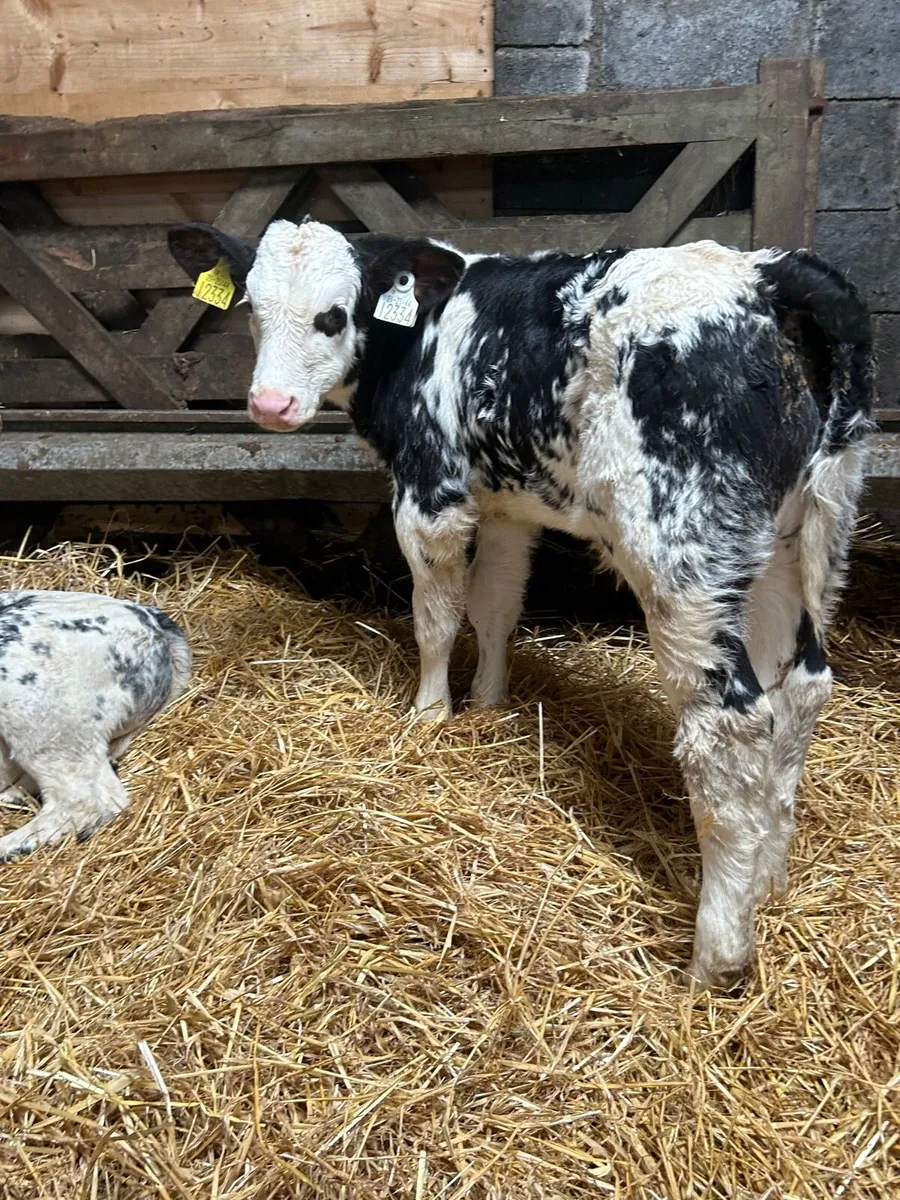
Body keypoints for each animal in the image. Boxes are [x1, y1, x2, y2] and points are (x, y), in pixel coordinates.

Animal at [167, 220, 873, 988]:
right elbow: (496, 604)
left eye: (334, 314)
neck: (419, 333)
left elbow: (437, 617)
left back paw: (716, 955)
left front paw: (429, 714)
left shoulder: (429, 490)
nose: (269, 405)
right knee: (799, 688)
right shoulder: (509, 506)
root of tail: (770, 275)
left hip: (681, 550)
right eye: (252, 309)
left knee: (730, 728)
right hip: (804, 534)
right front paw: (487, 704)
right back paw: (767, 880)